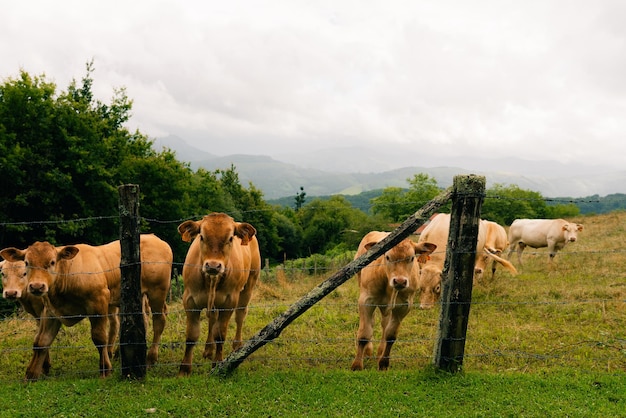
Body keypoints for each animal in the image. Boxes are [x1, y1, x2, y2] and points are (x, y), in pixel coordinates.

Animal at [0, 235, 171, 382]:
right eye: (27, 263)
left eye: (52, 262)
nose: (36, 286)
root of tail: (154, 237)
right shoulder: (50, 312)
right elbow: (41, 341)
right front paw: (31, 374)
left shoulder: (99, 302)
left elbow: (99, 338)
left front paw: (105, 369)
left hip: (157, 291)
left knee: (159, 321)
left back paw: (151, 358)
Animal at [177, 212, 260, 376]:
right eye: (201, 236)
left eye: (231, 238)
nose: (213, 265)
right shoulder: (189, 300)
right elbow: (191, 335)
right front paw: (184, 369)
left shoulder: (229, 302)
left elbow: (220, 334)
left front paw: (217, 363)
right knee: (212, 319)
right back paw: (208, 349)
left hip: (249, 285)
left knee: (240, 315)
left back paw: (237, 346)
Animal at [348, 232, 436, 372]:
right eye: (388, 257)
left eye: (412, 258)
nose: (400, 281)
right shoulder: (366, 301)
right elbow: (364, 333)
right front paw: (357, 365)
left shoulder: (404, 306)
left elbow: (390, 335)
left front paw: (384, 363)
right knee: (372, 322)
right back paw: (368, 351)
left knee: (385, 325)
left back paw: (380, 352)